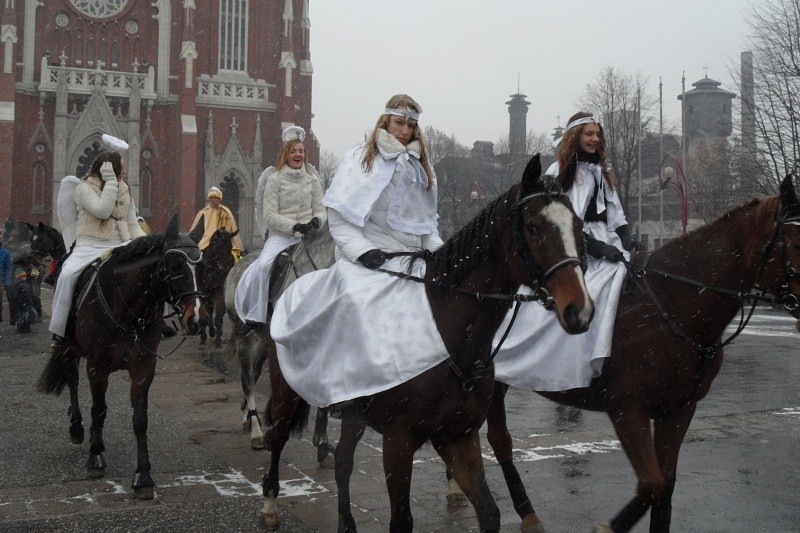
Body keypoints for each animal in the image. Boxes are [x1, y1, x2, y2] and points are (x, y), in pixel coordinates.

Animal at [37, 212, 206, 498]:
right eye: (173, 265)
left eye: (200, 265)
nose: (195, 319)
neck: (129, 308)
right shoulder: (97, 366)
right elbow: (99, 409)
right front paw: (95, 458)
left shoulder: (143, 367)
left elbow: (140, 419)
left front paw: (143, 476)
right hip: (70, 348)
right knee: (72, 380)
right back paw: (77, 428)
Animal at [223, 223, 336, 454]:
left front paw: (322, 441)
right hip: (242, 334)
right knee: (248, 378)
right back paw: (256, 432)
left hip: (263, 340)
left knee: (254, 371)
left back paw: (247, 417)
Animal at [260, 155, 592, 532]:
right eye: (534, 227)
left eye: (578, 225)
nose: (579, 309)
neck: (452, 332)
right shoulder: (398, 441)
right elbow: (402, 520)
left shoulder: (458, 436)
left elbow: (489, 511)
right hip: (286, 391)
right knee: (278, 435)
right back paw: (270, 504)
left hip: (353, 413)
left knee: (343, 461)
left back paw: (346, 521)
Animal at [476, 172, 800, 528]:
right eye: (796, 242)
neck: (670, 305)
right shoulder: (628, 411)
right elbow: (652, 485)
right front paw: (605, 528)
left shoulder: (679, 410)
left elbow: (666, 488)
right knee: (497, 440)